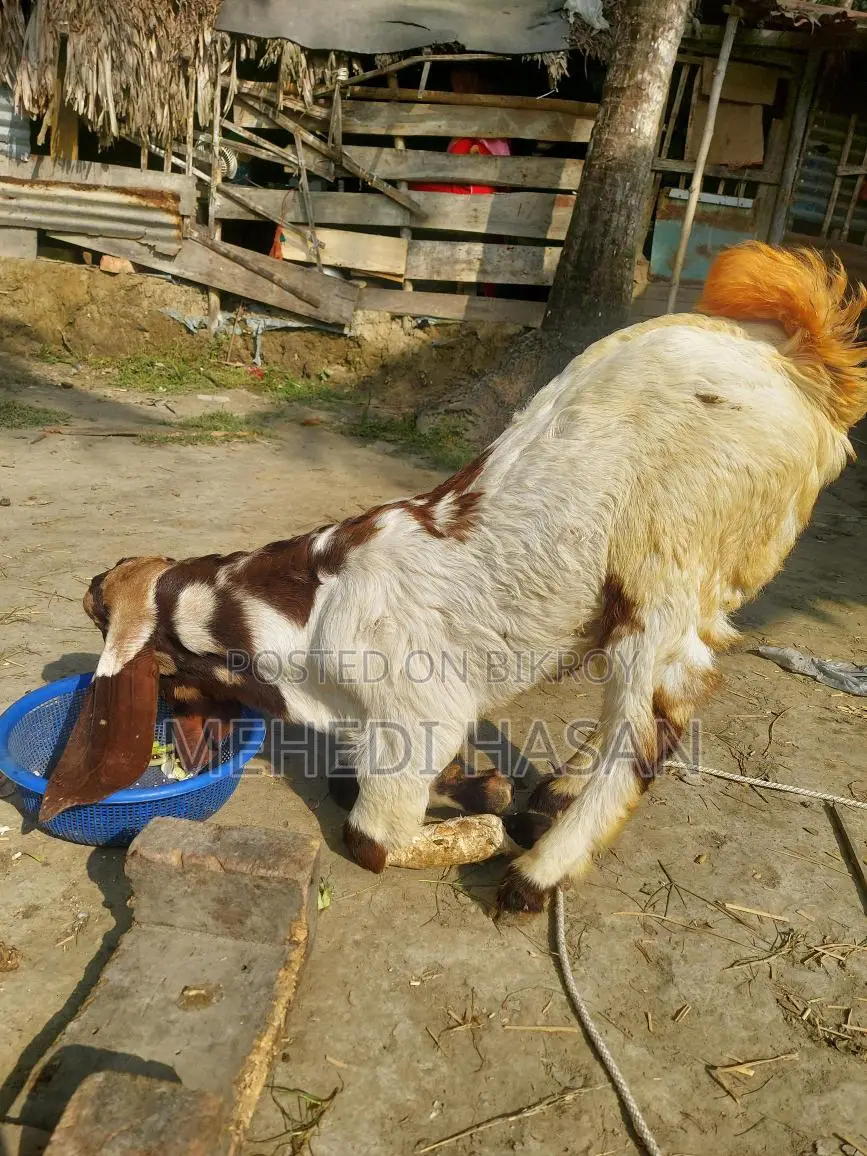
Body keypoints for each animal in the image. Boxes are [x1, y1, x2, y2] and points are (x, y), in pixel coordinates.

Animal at [42, 243, 867, 914]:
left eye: (160, 675)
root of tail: (801, 362)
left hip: (669, 562)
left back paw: (536, 870)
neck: (300, 612)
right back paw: (551, 796)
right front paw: (481, 788)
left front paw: (478, 827)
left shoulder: (415, 710)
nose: (84, 582)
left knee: (649, 721)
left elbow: (368, 838)